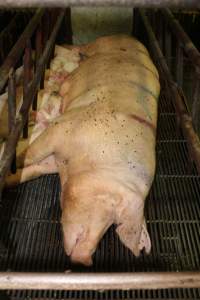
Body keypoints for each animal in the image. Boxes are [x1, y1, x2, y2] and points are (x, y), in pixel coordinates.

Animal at [5, 34, 160, 264]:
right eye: (109, 205)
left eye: (112, 225)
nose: (85, 259)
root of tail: (127, 36)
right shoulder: (62, 128)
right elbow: (29, 154)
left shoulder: (55, 160)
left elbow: (32, 171)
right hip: (95, 45)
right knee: (75, 48)